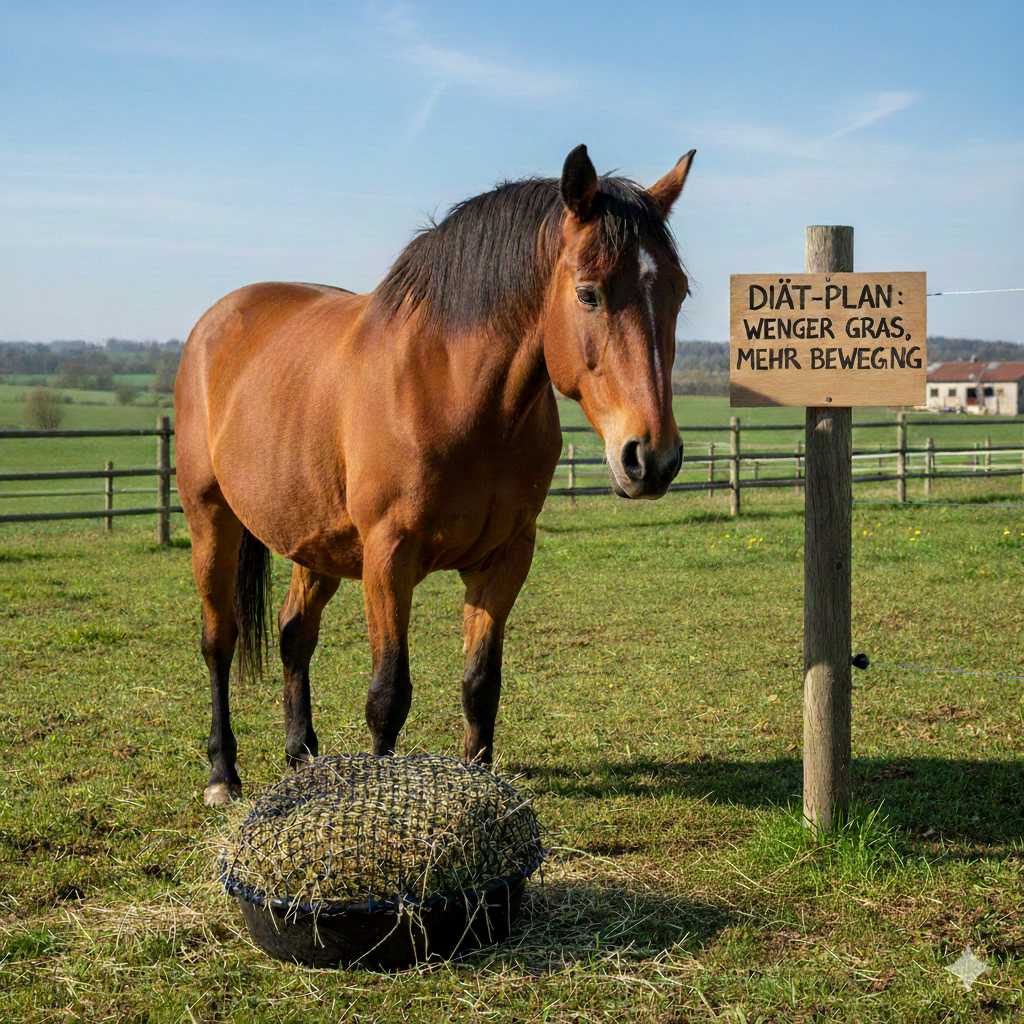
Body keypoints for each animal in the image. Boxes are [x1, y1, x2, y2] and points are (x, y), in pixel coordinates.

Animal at [174, 143, 696, 806]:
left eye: (679, 293)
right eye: (588, 294)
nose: (651, 458)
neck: (452, 387)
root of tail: (216, 322)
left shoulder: (506, 557)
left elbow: (480, 685)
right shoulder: (388, 558)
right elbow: (388, 697)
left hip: (314, 539)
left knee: (295, 634)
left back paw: (302, 757)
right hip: (210, 518)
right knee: (219, 641)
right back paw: (223, 774)